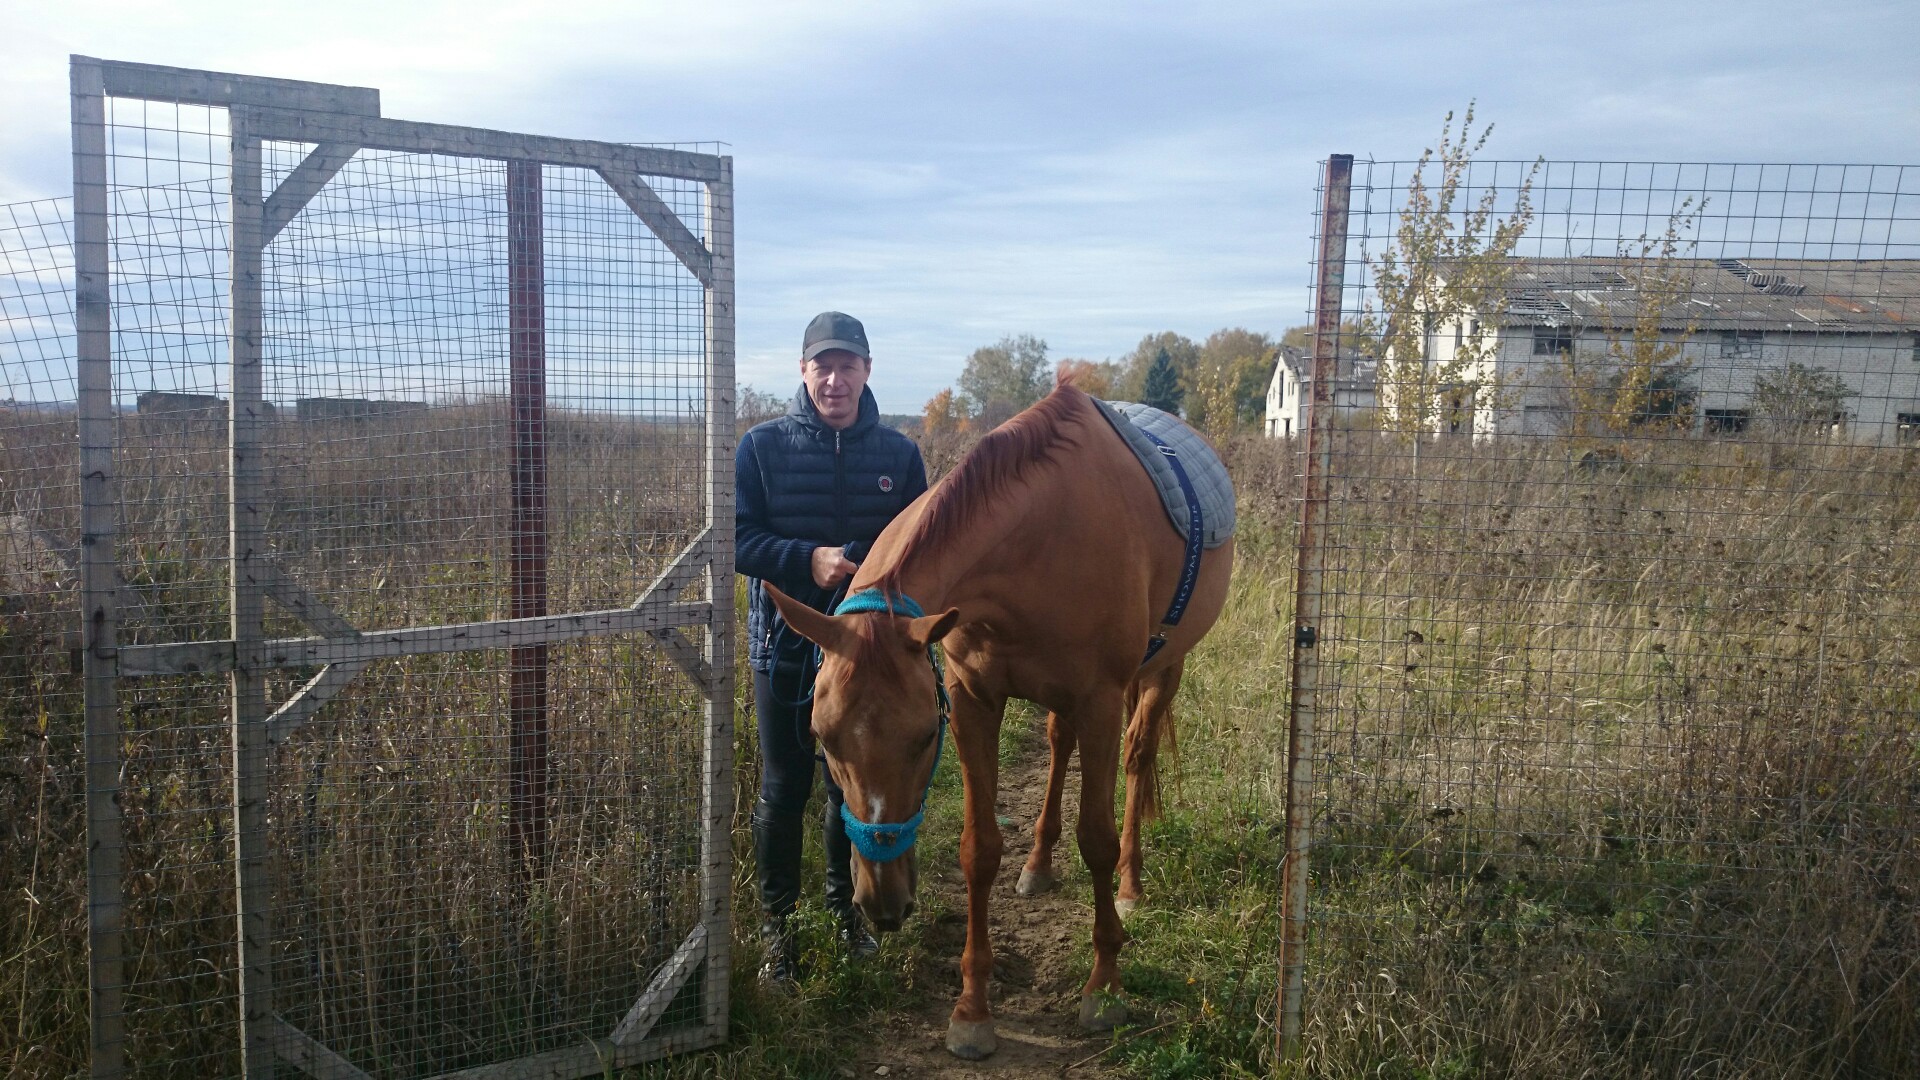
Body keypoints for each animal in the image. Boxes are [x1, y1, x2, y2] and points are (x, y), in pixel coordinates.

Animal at [760, 380, 1228, 1060]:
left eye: (924, 737)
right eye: (822, 739)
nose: (882, 905)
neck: (1039, 542)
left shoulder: (1100, 700)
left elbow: (1097, 838)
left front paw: (1104, 988)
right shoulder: (974, 699)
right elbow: (979, 849)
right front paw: (972, 1011)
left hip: (1163, 672)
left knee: (1138, 760)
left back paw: (1131, 888)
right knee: (1059, 746)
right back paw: (1037, 864)